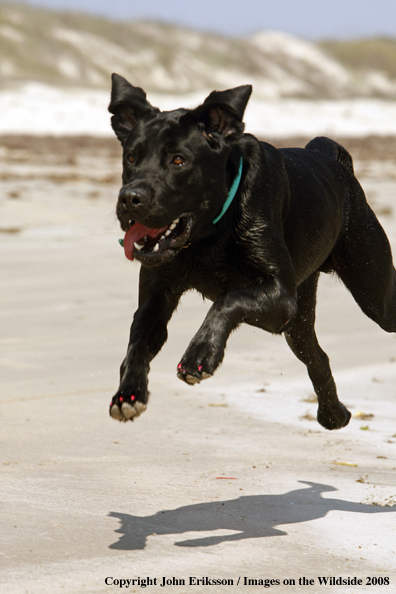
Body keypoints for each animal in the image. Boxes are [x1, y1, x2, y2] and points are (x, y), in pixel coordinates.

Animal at [106, 73, 396, 426]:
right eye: (131, 157)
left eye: (179, 160)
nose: (129, 198)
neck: (210, 234)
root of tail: (333, 160)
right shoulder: (157, 296)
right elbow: (137, 342)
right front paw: (128, 394)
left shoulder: (279, 294)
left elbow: (230, 299)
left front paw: (201, 353)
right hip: (299, 320)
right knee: (317, 357)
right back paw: (333, 414)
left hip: (373, 291)